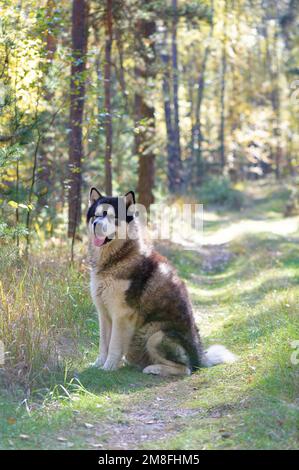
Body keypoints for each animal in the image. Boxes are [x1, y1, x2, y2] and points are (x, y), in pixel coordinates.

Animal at [86, 189, 237, 376]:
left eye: (112, 217)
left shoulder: (121, 314)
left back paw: (153, 368)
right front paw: (98, 365)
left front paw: (108, 368)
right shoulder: (103, 312)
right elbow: (103, 343)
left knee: (186, 368)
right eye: (96, 215)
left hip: (155, 335)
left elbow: (113, 344)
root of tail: (201, 357)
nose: (96, 224)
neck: (117, 258)